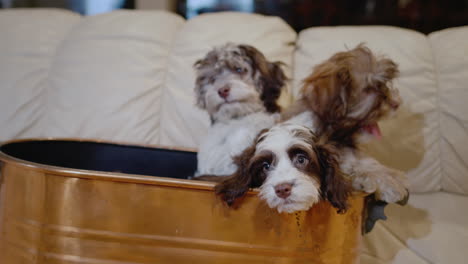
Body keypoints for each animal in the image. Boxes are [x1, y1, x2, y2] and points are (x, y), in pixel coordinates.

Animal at [284, 44, 408, 203]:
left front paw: (392, 174)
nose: (396, 103)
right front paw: (387, 183)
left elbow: (364, 162)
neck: (334, 135)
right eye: (369, 89)